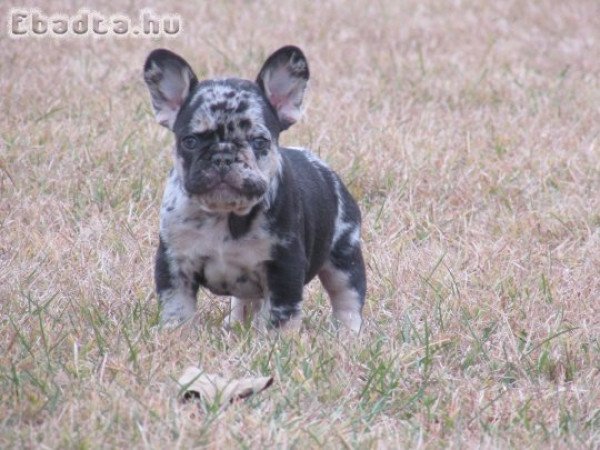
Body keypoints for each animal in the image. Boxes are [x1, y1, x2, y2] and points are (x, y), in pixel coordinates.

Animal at [143, 45, 366, 332]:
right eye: (189, 141)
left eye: (259, 141)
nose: (223, 156)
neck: (224, 215)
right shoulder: (174, 263)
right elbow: (177, 305)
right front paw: (175, 333)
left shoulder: (284, 267)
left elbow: (281, 313)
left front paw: (277, 340)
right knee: (246, 301)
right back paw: (236, 325)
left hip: (344, 255)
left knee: (346, 296)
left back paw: (347, 332)